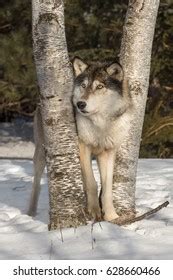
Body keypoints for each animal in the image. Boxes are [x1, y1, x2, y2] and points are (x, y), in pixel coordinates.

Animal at [28, 57, 131, 221]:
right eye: (83, 86)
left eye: (99, 86)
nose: (80, 104)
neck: (100, 124)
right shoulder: (83, 147)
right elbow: (92, 183)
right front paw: (94, 211)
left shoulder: (108, 152)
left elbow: (107, 189)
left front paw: (111, 216)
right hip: (41, 154)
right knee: (36, 182)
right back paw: (30, 213)